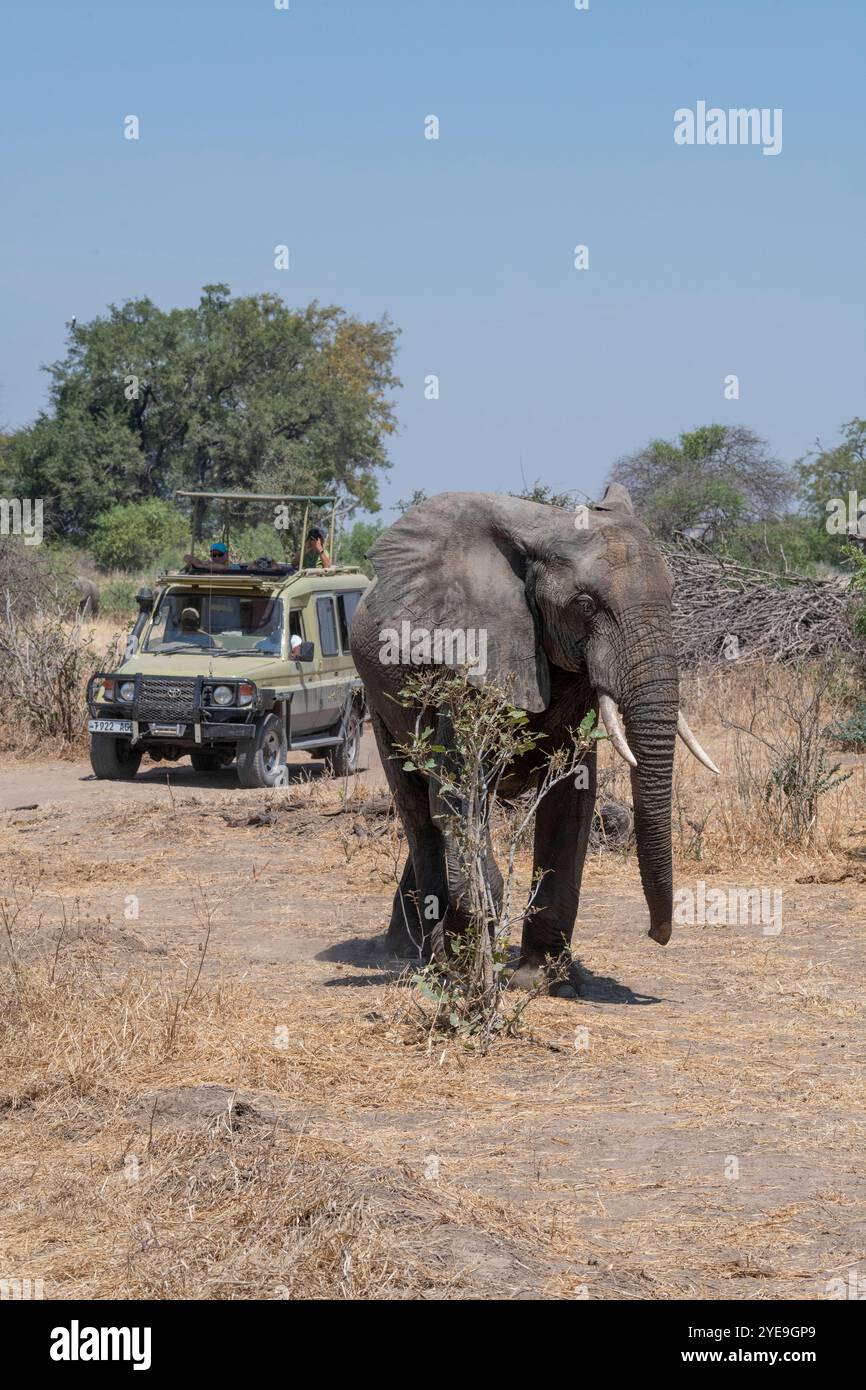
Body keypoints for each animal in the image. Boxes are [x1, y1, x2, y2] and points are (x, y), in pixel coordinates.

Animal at [350, 486, 719, 998]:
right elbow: (459, 793)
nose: (655, 934)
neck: (545, 530)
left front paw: (543, 980)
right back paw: (424, 956)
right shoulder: (473, 654)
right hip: (377, 699)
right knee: (418, 811)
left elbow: (572, 800)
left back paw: (408, 946)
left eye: (672, 597)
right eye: (585, 605)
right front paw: (470, 963)